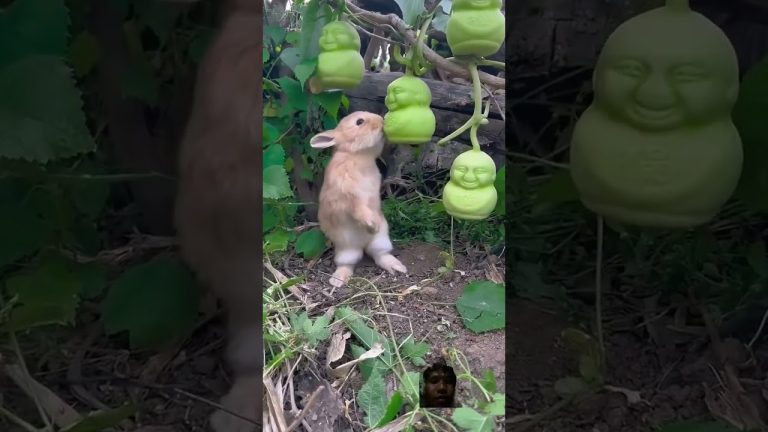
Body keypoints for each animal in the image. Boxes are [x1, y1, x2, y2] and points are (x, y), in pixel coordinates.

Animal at [310, 111, 408, 287]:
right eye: (359, 122)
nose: (381, 121)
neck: (357, 155)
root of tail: (363, 245)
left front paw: (373, 226)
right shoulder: (349, 197)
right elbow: (359, 210)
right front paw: (371, 225)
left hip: (381, 240)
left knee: (380, 255)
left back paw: (397, 267)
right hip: (346, 248)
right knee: (347, 263)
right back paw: (338, 280)